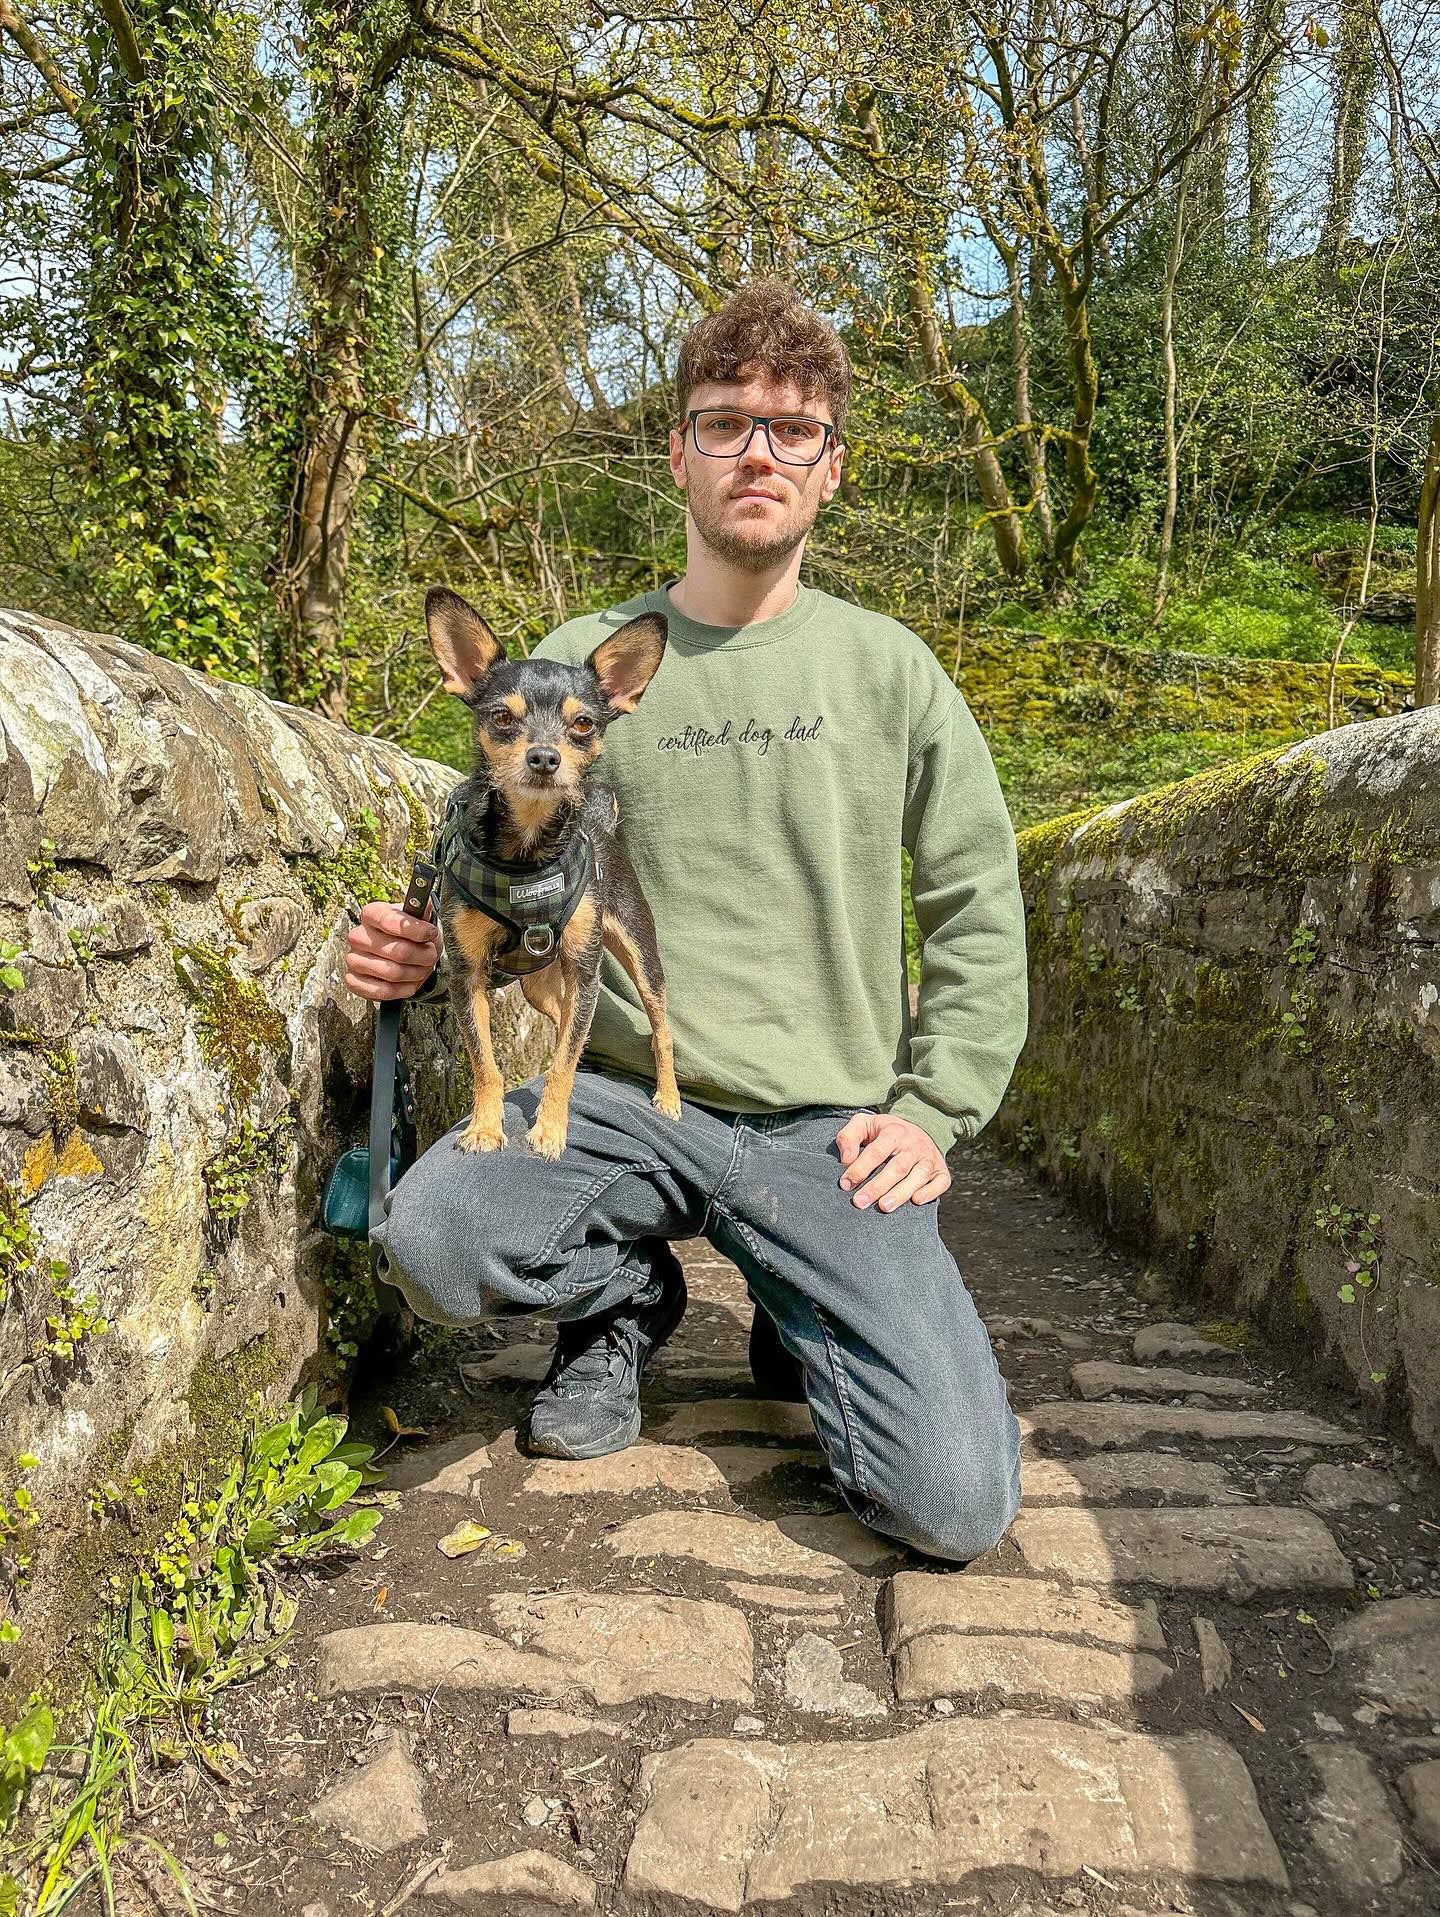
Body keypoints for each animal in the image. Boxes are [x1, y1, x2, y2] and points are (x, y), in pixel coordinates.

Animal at [421, 586, 682, 1150]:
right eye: (502, 717)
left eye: (583, 723)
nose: (544, 757)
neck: (526, 855)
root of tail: (602, 823)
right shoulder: (468, 974)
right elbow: (487, 1064)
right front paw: (485, 1127)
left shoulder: (585, 967)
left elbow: (563, 1062)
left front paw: (549, 1131)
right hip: (538, 985)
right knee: (566, 1022)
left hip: (639, 957)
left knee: (659, 1030)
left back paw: (669, 1097)